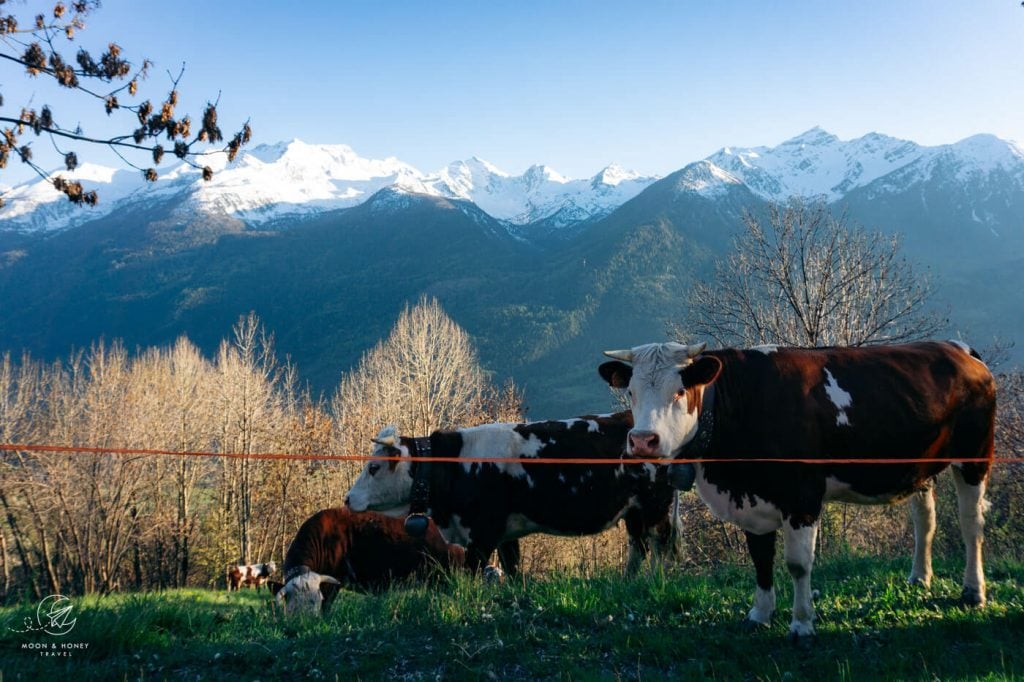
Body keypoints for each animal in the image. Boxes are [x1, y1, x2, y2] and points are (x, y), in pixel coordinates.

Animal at [344, 409, 679, 573]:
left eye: (373, 467)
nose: (348, 499)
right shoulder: (505, 535)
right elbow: (513, 570)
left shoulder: (482, 534)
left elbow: (471, 574)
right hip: (634, 510)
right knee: (639, 546)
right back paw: (629, 582)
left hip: (655, 505)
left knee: (660, 544)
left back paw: (658, 580)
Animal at [598, 339, 995, 638]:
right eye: (631, 391)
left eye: (680, 391)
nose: (643, 441)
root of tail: (957, 348)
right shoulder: (751, 499)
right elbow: (760, 557)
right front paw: (759, 614)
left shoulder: (802, 496)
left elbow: (798, 563)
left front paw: (802, 623)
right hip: (919, 467)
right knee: (924, 519)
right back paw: (919, 577)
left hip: (975, 457)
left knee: (971, 524)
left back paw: (973, 591)